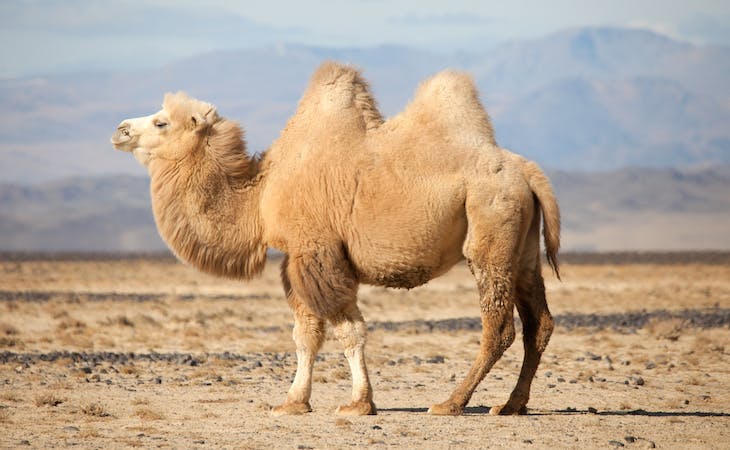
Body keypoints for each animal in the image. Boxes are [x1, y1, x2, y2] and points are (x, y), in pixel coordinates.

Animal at [110, 61, 560, 417]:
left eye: (161, 121)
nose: (120, 129)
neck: (260, 194)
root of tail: (527, 171)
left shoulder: (318, 252)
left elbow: (347, 330)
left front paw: (359, 403)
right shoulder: (296, 258)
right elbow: (306, 334)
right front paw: (293, 402)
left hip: (490, 228)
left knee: (498, 326)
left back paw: (451, 403)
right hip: (522, 249)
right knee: (539, 323)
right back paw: (512, 404)